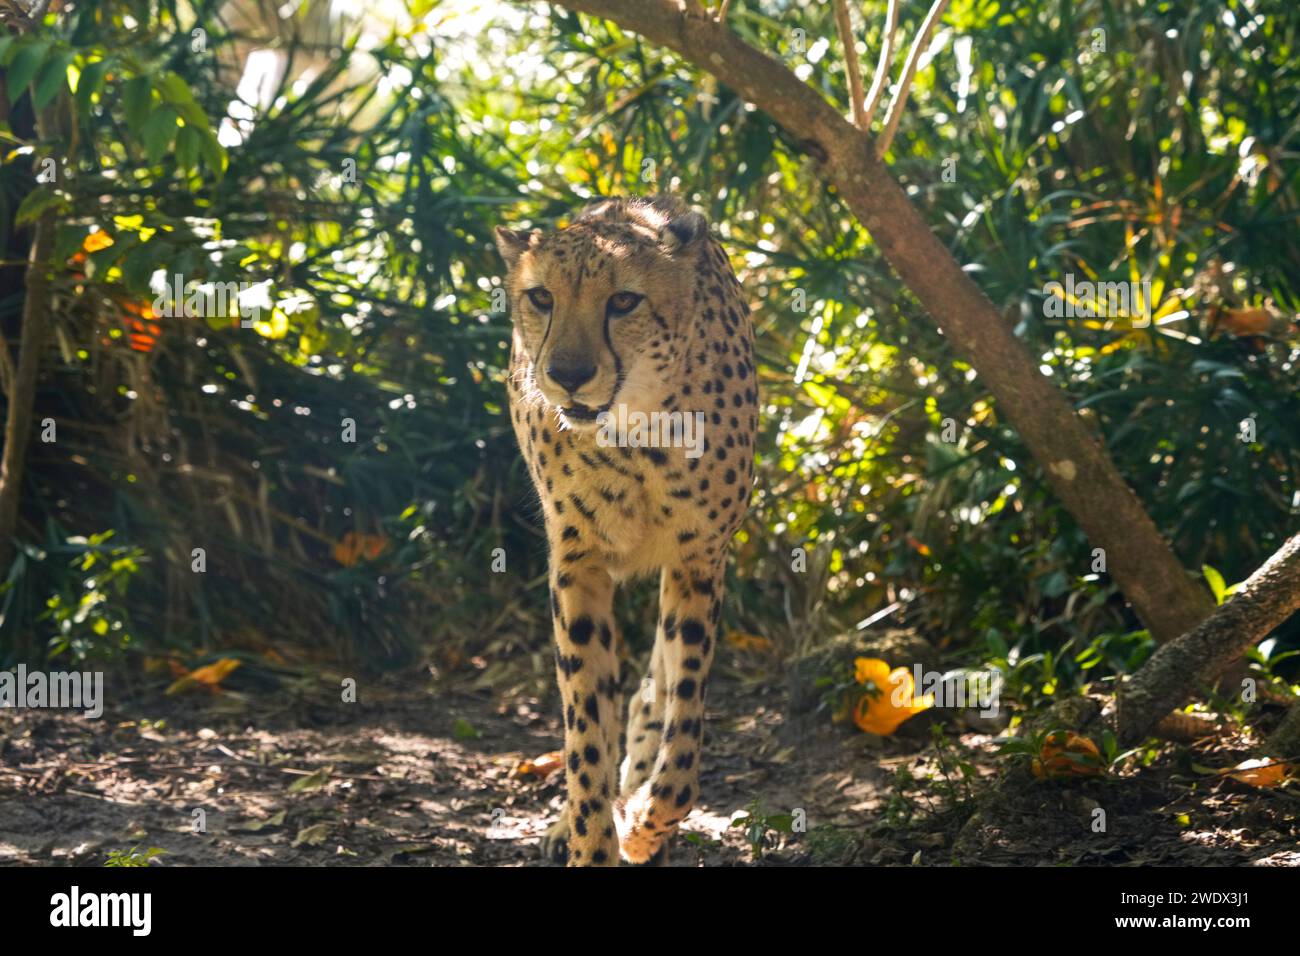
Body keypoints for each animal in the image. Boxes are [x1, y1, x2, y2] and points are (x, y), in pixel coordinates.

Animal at [495, 195, 758, 866]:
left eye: (623, 301)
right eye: (542, 297)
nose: (566, 373)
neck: (635, 433)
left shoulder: (698, 561)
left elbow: (683, 724)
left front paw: (645, 823)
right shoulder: (577, 565)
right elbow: (586, 726)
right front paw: (592, 840)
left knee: (653, 690)